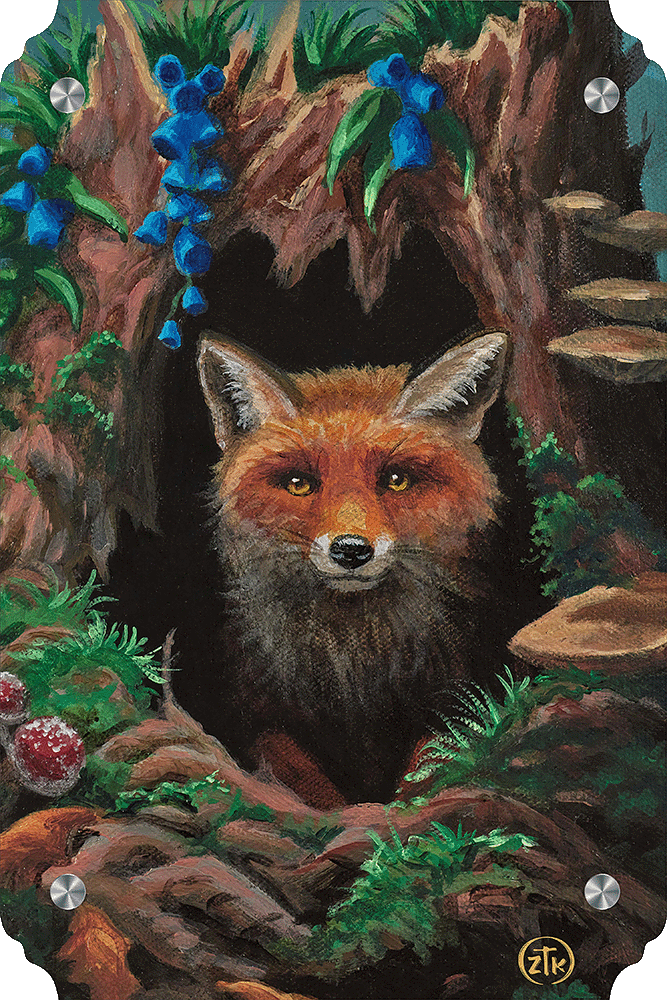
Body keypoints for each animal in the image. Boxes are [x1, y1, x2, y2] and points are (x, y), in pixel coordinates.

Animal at [196, 330, 509, 804]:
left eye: (396, 480)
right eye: (299, 483)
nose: (350, 550)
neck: (356, 657)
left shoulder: (451, 701)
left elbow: (423, 773)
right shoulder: (261, 719)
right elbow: (308, 786)